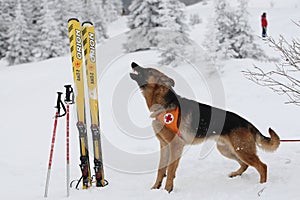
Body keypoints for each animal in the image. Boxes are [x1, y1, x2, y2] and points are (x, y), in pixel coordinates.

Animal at [130, 62, 280, 192]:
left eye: (149, 70)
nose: (133, 63)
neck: (164, 104)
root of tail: (248, 124)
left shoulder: (176, 146)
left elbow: (171, 171)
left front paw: (167, 190)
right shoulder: (164, 146)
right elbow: (161, 170)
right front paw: (156, 188)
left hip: (242, 151)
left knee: (262, 166)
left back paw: (262, 185)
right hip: (227, 150)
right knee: (246, 164)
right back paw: (235, 174)